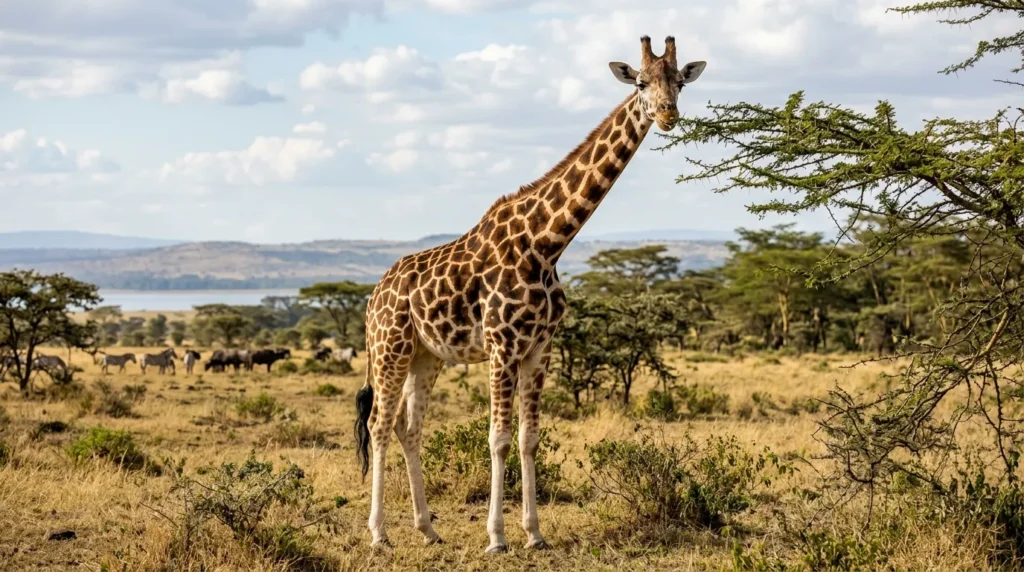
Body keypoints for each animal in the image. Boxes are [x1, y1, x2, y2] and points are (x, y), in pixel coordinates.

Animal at [354, 35, 706, 553]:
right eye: (641, 82)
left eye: (680, 81)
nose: (667, 114)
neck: (547, 242)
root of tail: (375, 293)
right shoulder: (502, 346)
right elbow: (498, 439)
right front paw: (497, 537)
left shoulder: (540, 348)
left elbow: (528, 438)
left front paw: (535, 534)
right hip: (389, 347)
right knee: (379, 424)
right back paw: (379, 534)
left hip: (426, 354)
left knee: (408, 426)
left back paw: (428, 529)